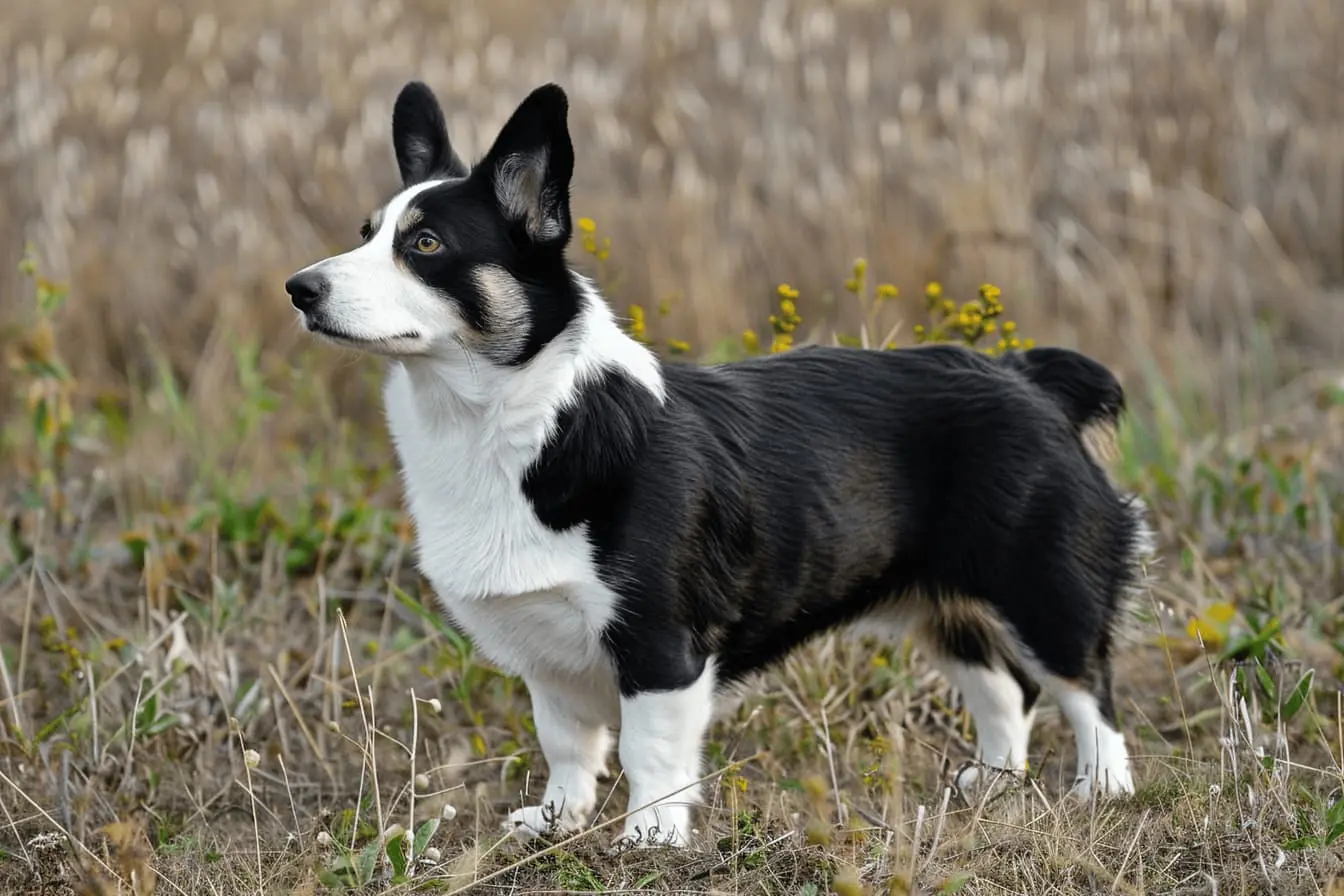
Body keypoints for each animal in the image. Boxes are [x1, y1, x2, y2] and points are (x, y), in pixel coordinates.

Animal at [286, 80, 1155, 854]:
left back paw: (1102, 789)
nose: (298, 288)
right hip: (944, 603)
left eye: (424, 245)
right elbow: (567, 745)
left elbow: (650, 750)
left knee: (1087, 688)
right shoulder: (548, 656)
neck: (514, 418)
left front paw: (651, 837)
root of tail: (1027, 377)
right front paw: (558, 823)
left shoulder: (660, 644)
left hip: (1044, 589)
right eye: (365, 232)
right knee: (1005, 688)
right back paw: (994, 783)